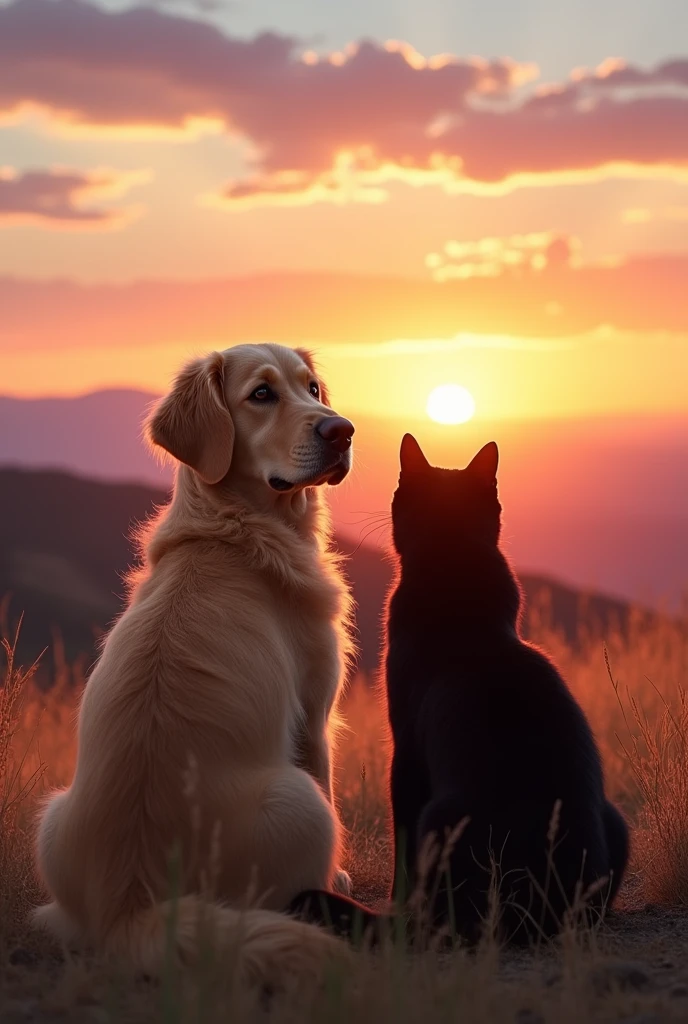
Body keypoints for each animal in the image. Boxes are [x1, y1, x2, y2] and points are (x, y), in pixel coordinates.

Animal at [30, 346, 360, 991]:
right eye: (261, 395)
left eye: (312, 387)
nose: (342, 430)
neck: (230, 525)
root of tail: (129, 905)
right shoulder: (314, 715)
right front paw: (340, 880)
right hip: (298, 800)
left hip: (51, 817)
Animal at [384, 432, 626, 942]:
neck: (453, 563)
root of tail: (556, 906)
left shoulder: (405, 752)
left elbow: (401, 851)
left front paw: (397, 910)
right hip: (616, 817)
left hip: (440, 816)